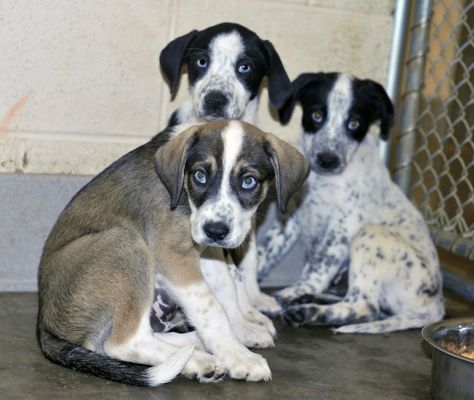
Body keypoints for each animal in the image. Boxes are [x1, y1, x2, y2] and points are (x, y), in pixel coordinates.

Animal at [38, 120, 312, 386]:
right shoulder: (174, 254)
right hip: (126, 243)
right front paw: (238, 356)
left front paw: (241, 332)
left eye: (249, 181)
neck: (185, 196)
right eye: (200, 175)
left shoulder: (207, 251)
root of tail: (44, 323)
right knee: (121, 343)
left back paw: (195, 346)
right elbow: (212, 309)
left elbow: (227, 292)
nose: (216, 230)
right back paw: (197, 360)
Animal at [256, 73, 444, 332]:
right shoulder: (291, 217)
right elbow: (266, 251)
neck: (324, 181)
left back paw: (307, 310)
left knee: (364, 307)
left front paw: (292, 292)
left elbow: (319, 264)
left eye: (354, 123)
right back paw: (309, 301)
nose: (327, 159)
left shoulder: (343, 225)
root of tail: (434, 299)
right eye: (317, 115)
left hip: (370, 236)